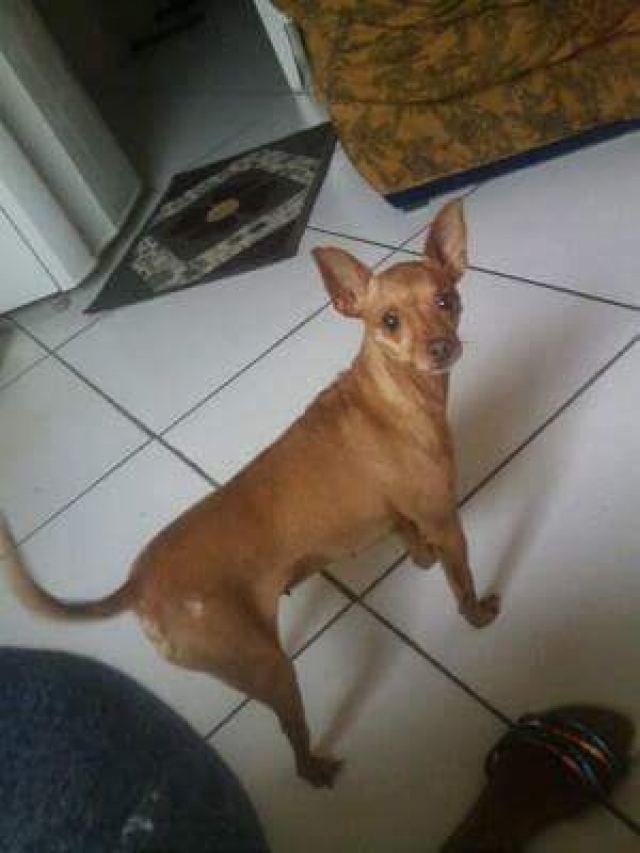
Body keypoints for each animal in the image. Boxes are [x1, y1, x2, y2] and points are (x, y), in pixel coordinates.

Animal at [1, 199, 499, 788]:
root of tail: (137, 585)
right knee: (295, 742)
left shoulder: (401, 514)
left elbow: (410, 539)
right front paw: (477, 615)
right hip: (268, 667)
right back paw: (316, 769)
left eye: (447, 299)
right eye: (389, 322)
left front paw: (420, 559)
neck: (396, 395)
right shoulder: (445, 519)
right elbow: (460, 581)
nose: (441, 346)